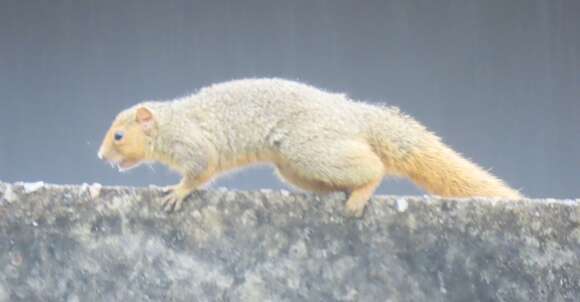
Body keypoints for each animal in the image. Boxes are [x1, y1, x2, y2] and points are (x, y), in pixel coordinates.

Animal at [97, 79, 524, 217]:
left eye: (118, 136)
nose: (101, 156)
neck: (169, 122)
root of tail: (353, 114)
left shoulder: (192, 142)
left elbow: (201, 168)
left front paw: (178, 192)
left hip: (310, 148)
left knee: (373, 166)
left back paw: (360, 193)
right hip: (295, 166)